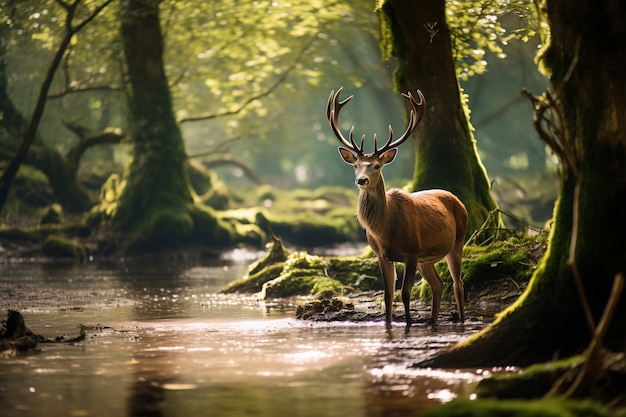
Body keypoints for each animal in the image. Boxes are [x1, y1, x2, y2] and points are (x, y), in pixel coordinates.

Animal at [324, 88, 466, 326]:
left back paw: (462, 319)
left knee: (458, 284)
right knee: (438, 284)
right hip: (426, 258)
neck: (385, 230)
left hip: (457, 242)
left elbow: (405, 293)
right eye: (356, 165)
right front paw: (389, 325)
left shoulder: (411, 252)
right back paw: (432, 320)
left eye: (376, 166)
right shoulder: (382, 255)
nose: (361, 180)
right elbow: (388, 295)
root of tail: (459, 200)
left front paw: (408, 323)